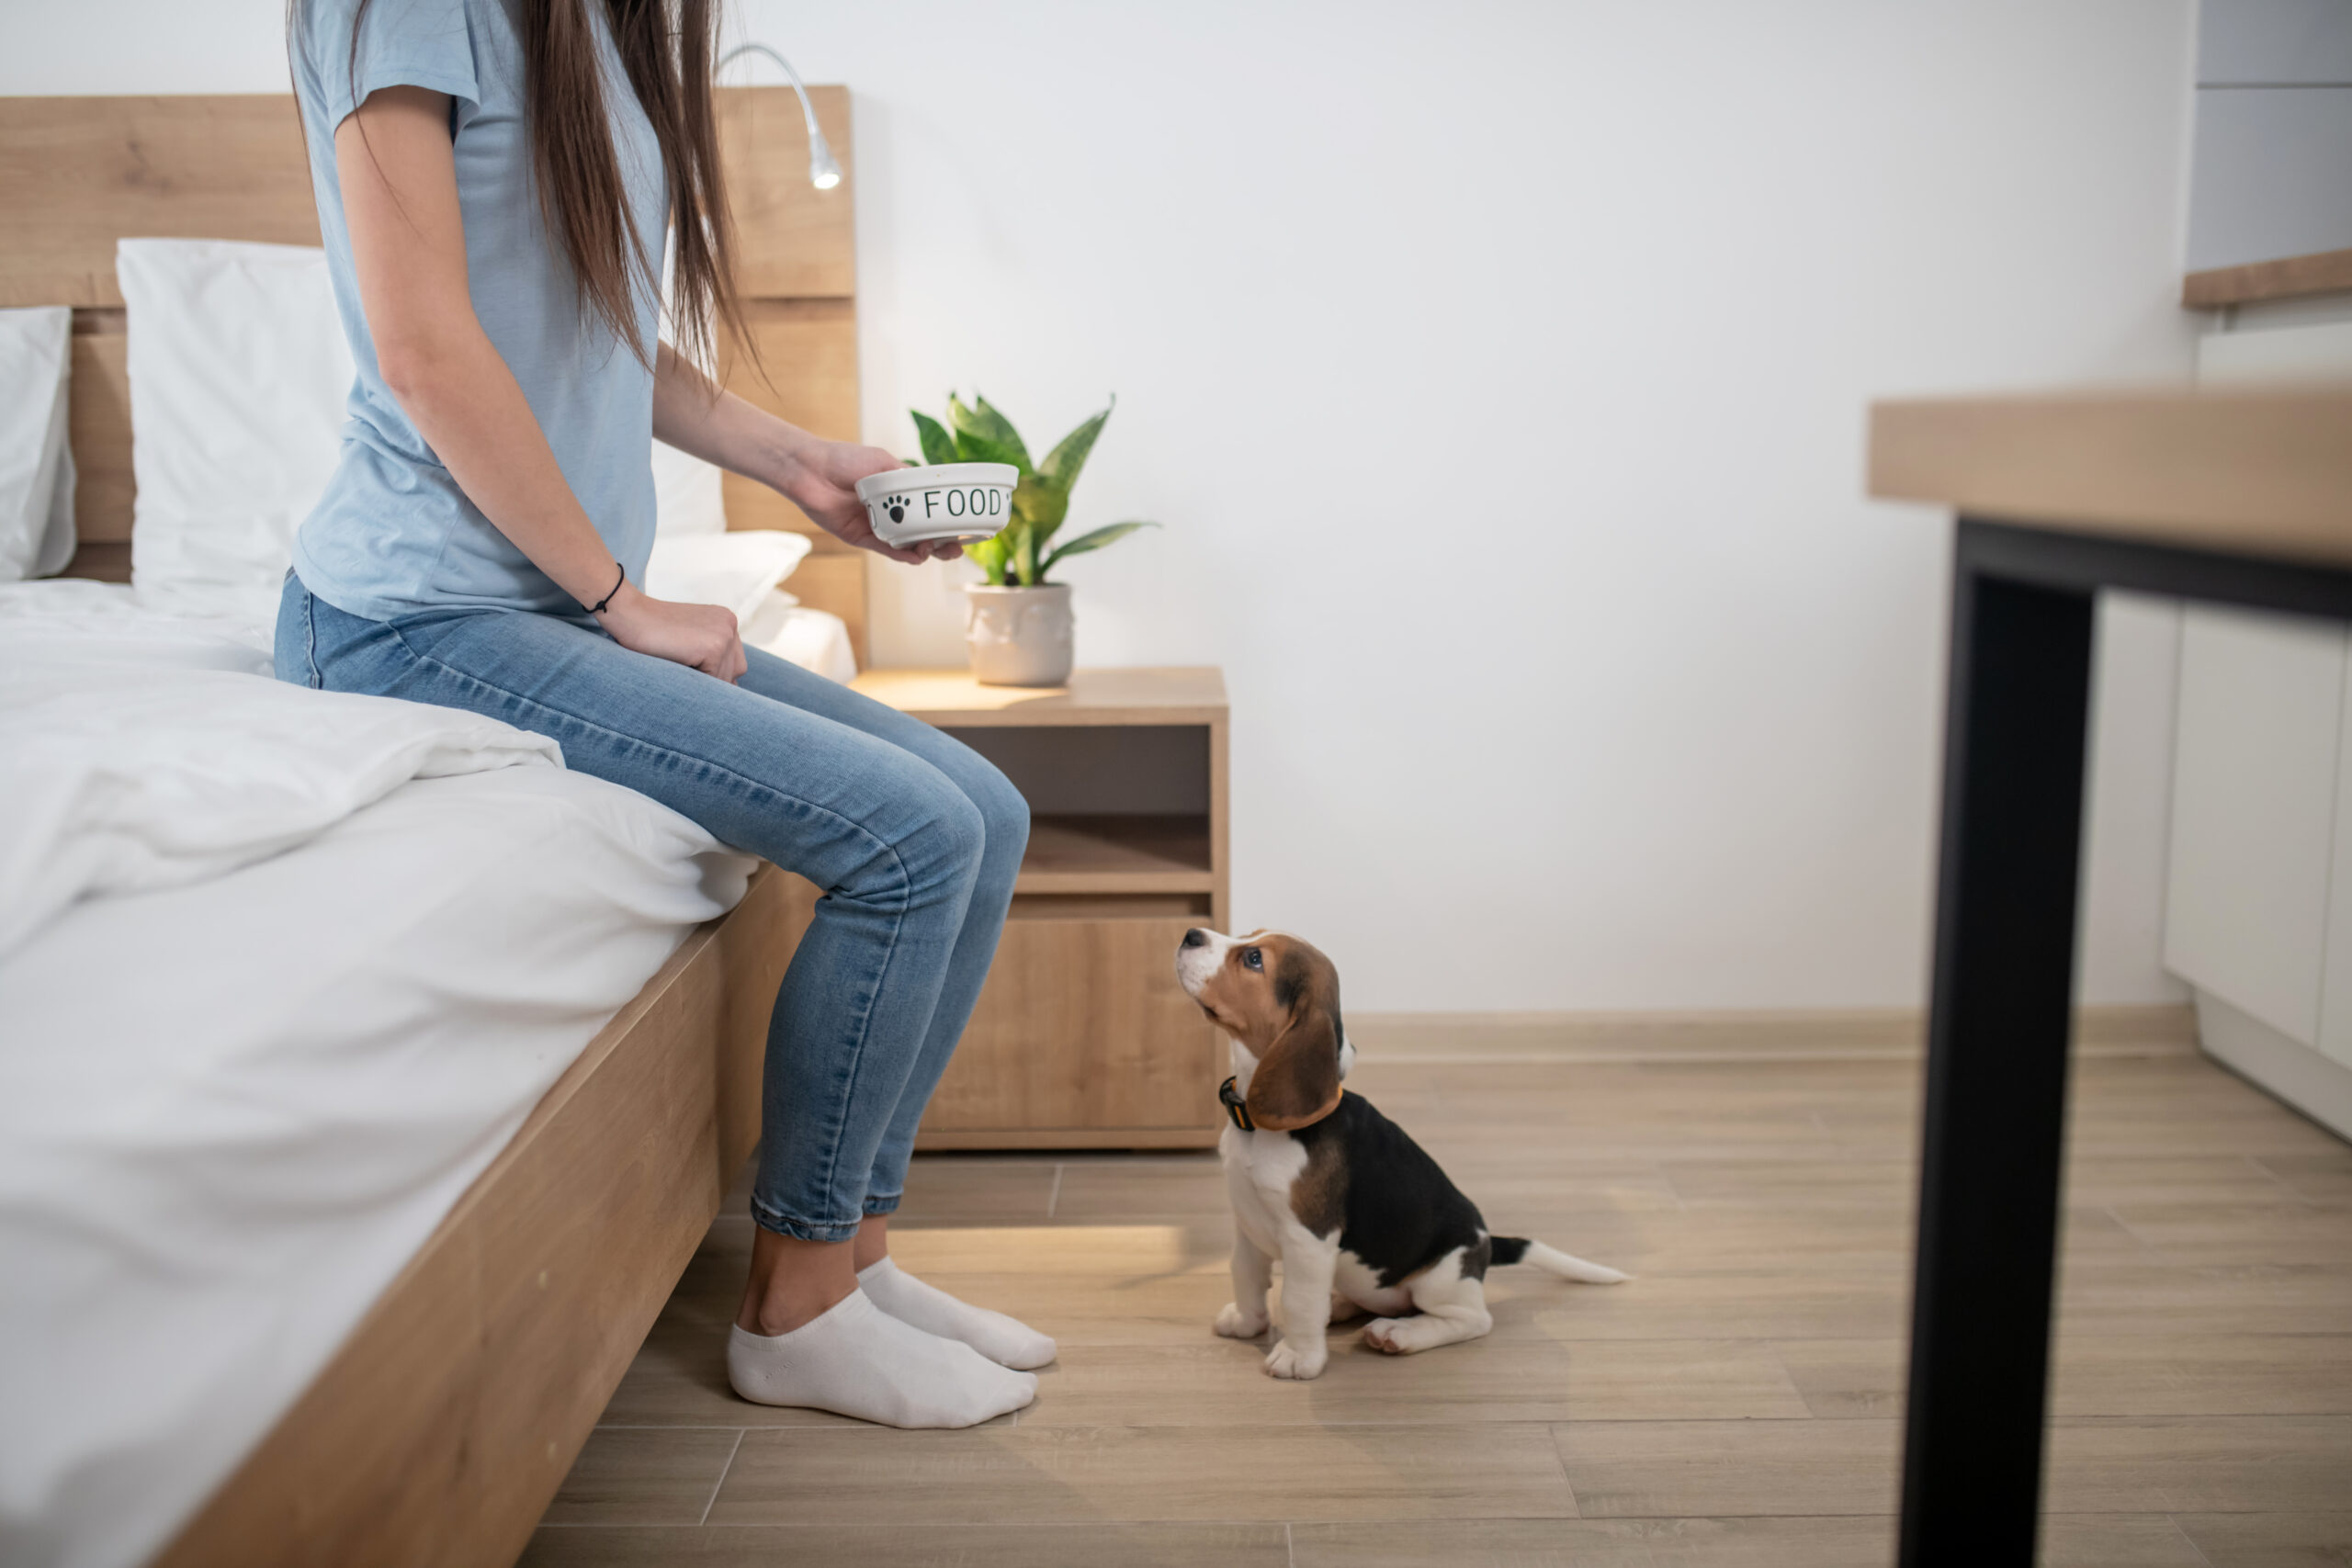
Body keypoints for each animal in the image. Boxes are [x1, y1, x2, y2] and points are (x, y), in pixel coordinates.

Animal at [1170, 926, 1618, 1382]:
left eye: (1254, 959)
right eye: (1247, 937)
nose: (1191, 934)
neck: (1257, 1127)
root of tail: (1486, 1242)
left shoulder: (1308, 1240)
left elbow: (1297, 1300)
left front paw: (1299, 1357)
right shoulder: (1247, 1221)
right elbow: (1244, 1274)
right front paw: (1247, 1323)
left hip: (1440, 1280)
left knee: (1471, 1319)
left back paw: (1398, 1334)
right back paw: (1340, 1306)